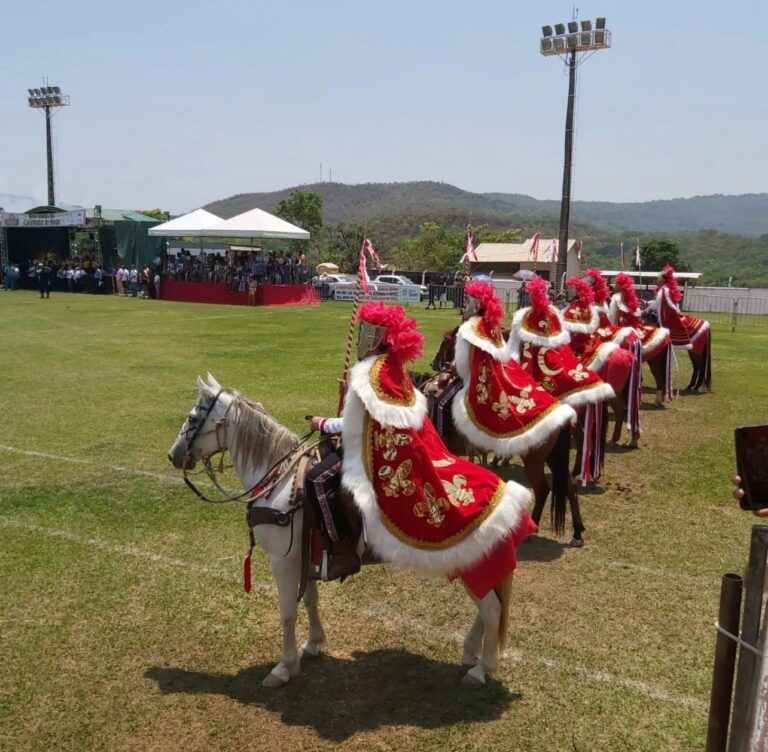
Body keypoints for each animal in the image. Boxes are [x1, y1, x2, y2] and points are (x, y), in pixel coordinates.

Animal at [168, 374, 516, 688]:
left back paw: (482, 670)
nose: (173, 455)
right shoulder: (303, 555)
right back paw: (470, 655)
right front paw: (312, 645)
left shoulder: (282, 560)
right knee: (488, 610)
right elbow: (310, 599)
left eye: (193, 417)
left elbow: (287, 612)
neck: (281, 481)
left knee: (491, 610)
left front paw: (284, 667)